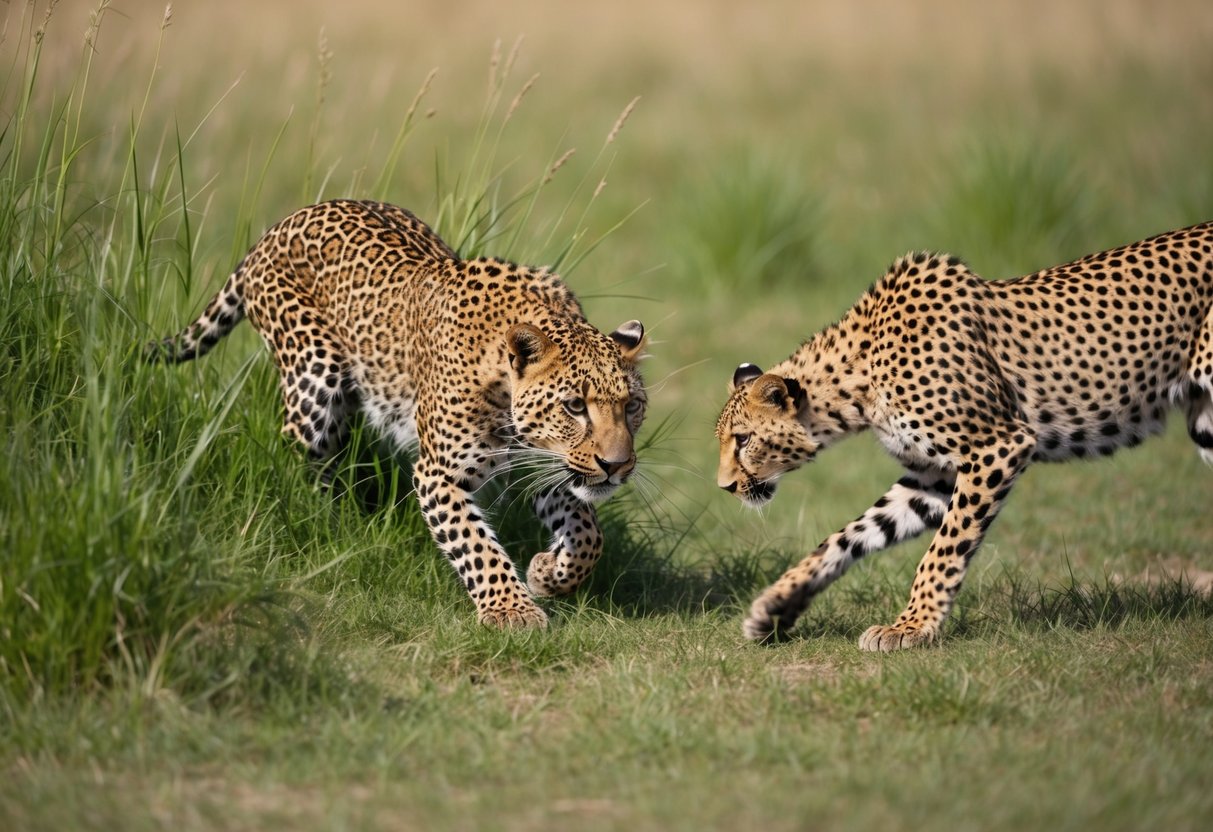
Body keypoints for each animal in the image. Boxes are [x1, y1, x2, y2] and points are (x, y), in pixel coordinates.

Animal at [148, 199, 648, 628]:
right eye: (575, 406)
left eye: (632, 407)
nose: (617, 466)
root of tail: (281, 224)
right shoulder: (439, 473)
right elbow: (477, 548)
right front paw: (512, 611)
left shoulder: (546, 463)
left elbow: (588, 533)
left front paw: (548, 573)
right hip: (313, 380)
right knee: (304, 463)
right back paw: (326, 525)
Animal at [715, 220, 1213, 651]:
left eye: (742, 440)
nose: (724, 487)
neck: (856, 383)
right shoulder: (933, 476)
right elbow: (849, 536)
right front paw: (777, 607)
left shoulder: (998, 446)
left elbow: (943, 548)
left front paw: (913, 627)